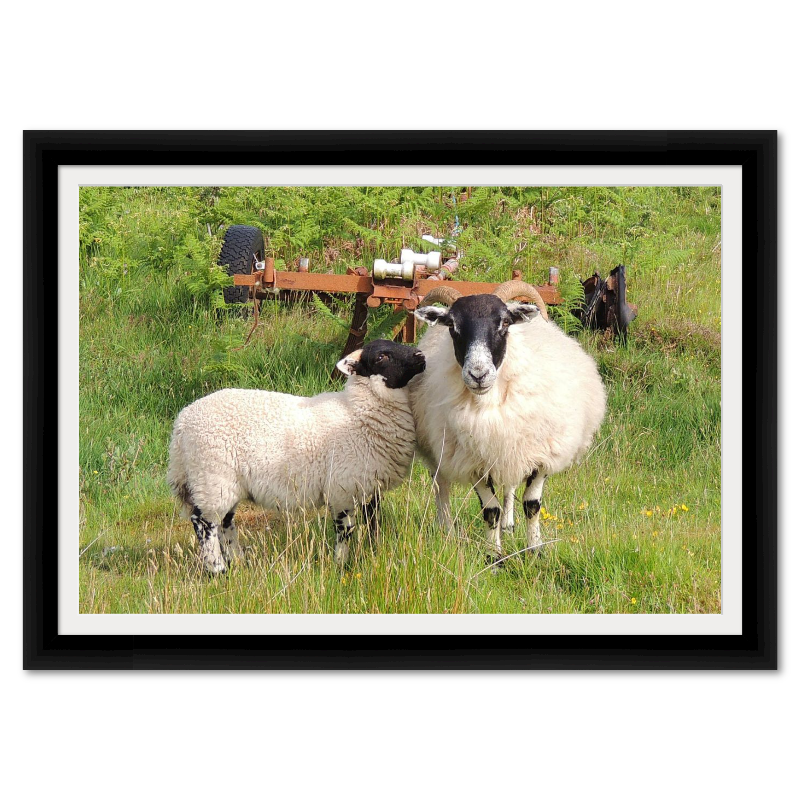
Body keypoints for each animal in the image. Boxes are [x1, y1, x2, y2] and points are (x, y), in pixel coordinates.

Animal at [167, 339, 426, 573]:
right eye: (381, 357)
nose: (421, 356)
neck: (357, 413)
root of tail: (182, 422)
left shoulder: (370, 487)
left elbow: (374, 523)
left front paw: (375, 553)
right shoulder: (341, 489)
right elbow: (345, 531)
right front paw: (340, 565)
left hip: (223, 483)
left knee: (225, 522)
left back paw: (238, 561)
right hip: (211, 476)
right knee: (204, 523)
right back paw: (217, 569)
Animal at [410, 280, 606, 563]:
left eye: (504, 323)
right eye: (452, 326)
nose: (478, 374)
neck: (490, 403)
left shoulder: (540, 453)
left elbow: (532, 505)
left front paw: (535, 551)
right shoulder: (474, 461)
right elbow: (490, 510)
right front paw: (494, 557)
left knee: (510, 484)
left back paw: (509, 525)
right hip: (437, 450)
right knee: (441, 485)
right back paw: (446, 529)